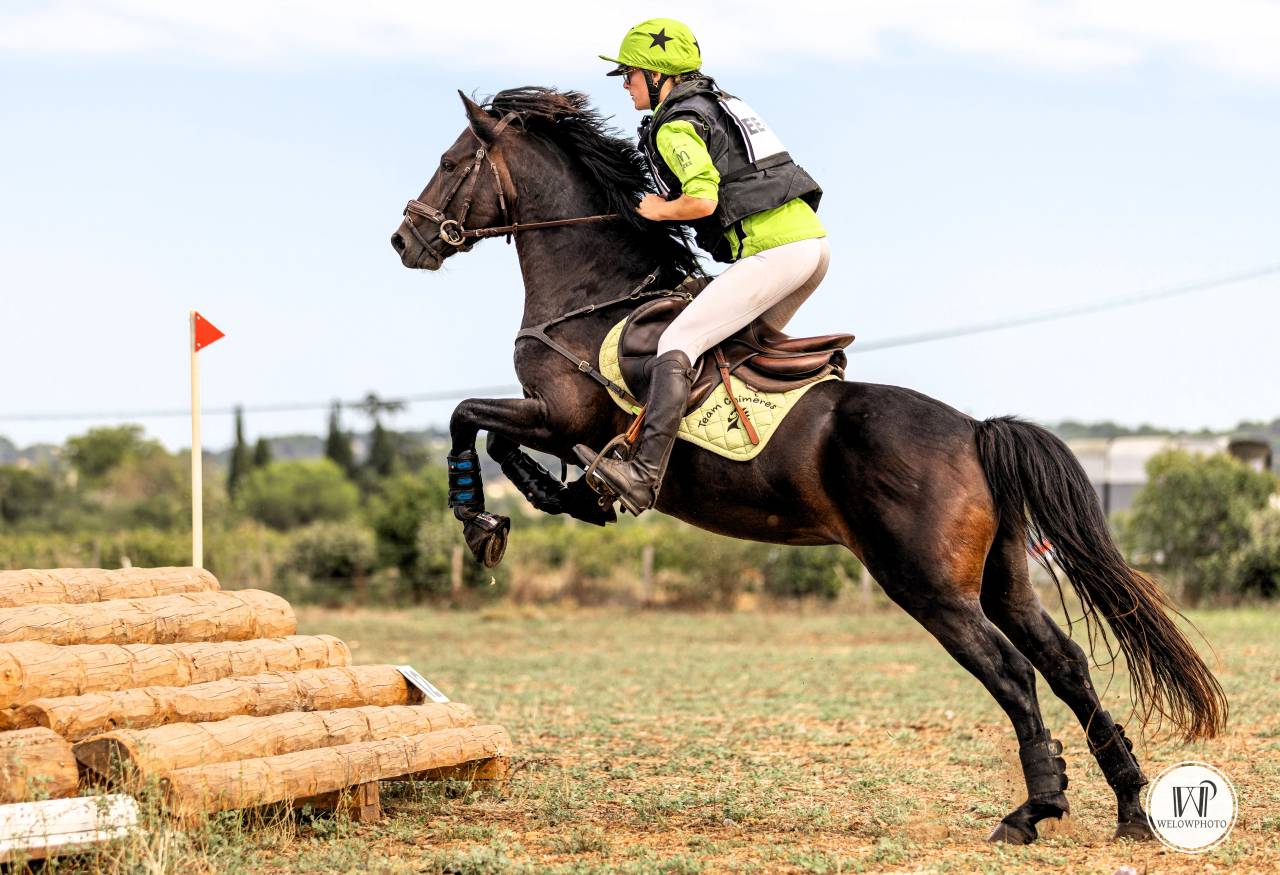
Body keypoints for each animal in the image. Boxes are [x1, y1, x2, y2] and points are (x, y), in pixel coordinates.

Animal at [390, 87, 1227, 844]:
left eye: (450, 162)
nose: (406, 240)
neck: (594, 293)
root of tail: (974, 431)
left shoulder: (562, 417)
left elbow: (471, 419)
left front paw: (488, 517)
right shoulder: (558, 425)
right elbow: (490, 432)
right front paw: (549, 502)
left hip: (926, 584)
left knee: (1016, 673)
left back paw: (1033, 810)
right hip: (1004, 578)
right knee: (1066, 663)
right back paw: (1129, 807)